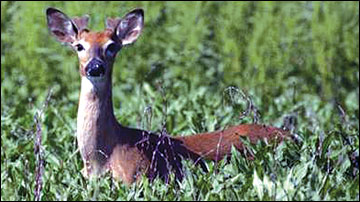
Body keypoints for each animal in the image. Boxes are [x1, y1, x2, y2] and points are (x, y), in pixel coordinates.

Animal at [45, 7, 290, 185]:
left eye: (112, 46)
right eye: (79, 46)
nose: (95, 67)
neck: (101, 157)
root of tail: (293, 137)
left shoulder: (139, 176)